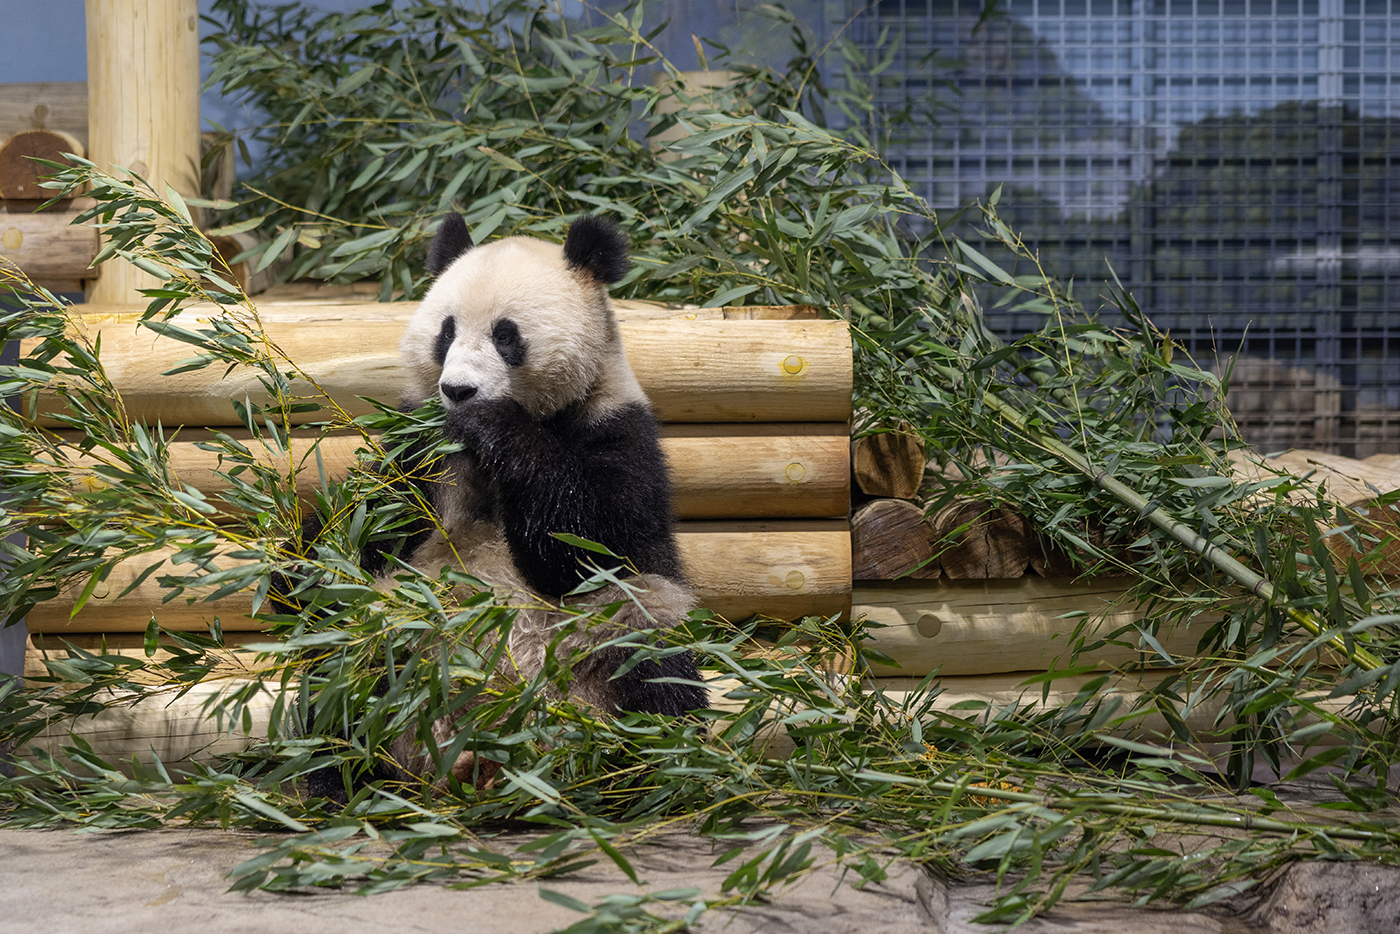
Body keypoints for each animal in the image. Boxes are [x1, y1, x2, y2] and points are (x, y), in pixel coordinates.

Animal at [302, 215, 705, 800]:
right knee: (336, 684)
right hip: (391, 639)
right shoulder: (416, 450)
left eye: (505, 334)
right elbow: (363, 527)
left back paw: (639, 774)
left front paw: (497, 426)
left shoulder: (615, 426)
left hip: (609, 642)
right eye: (446, 331)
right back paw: (341, 780)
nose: (459, 390)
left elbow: (588, 542)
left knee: (658, 679)